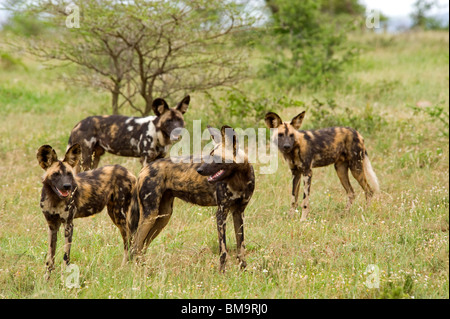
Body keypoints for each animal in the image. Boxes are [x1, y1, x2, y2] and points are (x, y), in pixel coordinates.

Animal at [37, 144, 136, 278]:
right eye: (56, 174)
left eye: (69, 174)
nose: (67, 186)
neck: (54, 199)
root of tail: (127, 171)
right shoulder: (52, 226)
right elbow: (50, 258)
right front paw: (46, 280)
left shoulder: (68, 225)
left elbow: (65, 257)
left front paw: (63, 279)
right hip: (115, 215)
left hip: (119, 217)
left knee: (129, 242)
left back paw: (124, 268)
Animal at [128, 125, 255, 272]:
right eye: (210, 155)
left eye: (216, 157)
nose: (199, 170)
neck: (238, 179)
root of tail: (145, 168)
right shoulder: (221, 213)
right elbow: (223, 251)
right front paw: (222, 273)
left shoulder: (238, 212)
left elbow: (241, 247)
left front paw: (243, 271)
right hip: (150, 215)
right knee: (135, 246)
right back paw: (135, 271)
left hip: (163, 217)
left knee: (142, 246)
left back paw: (145, 270)